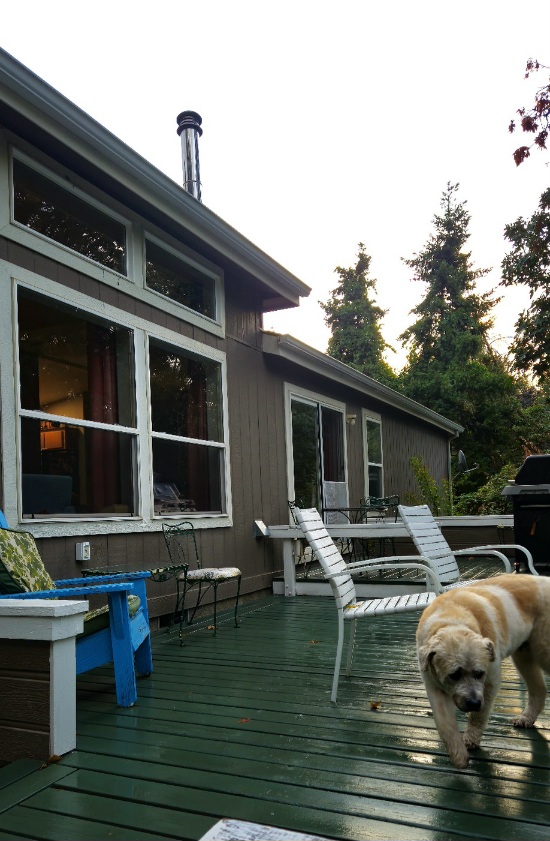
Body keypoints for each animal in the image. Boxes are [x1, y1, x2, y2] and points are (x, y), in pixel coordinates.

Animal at [416, 574, 550, 768]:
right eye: (454, 675)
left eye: (479, 673)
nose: (473, 702)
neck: (451, 618)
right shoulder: (433, 685)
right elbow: (444, 723)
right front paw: (458, 754)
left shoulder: (490, 680)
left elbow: (480, 714)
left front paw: (471, 738)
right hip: (523, 654)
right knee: (539, 689)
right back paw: (527, 718)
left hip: (543, 649)